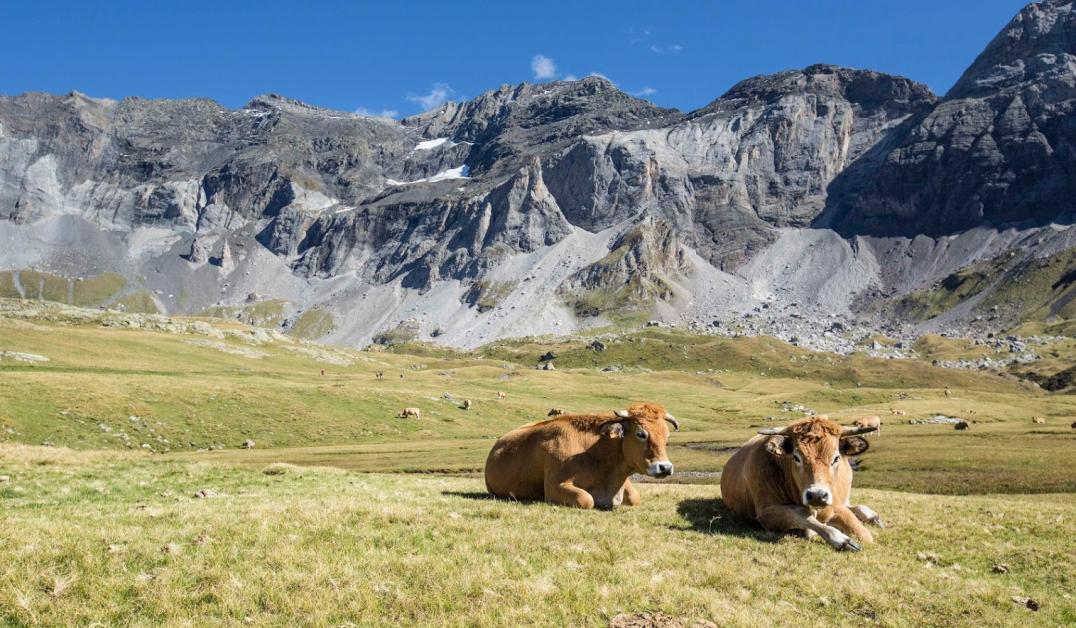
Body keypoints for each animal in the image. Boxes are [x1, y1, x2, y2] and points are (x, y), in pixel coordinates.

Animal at [484, 402, 675, 509]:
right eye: (641, 434)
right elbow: (586, 499)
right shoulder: (554, 487)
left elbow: (635, 498)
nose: (665, 467)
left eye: (667, 435)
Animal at [723, 419, 882, 550]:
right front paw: (840, 539)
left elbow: (865, 536)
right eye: (796, 457)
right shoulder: (766, 512)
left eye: (836, 458)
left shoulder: (834, 505)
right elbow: (800, 514)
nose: (817, 495)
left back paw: (874, 517)